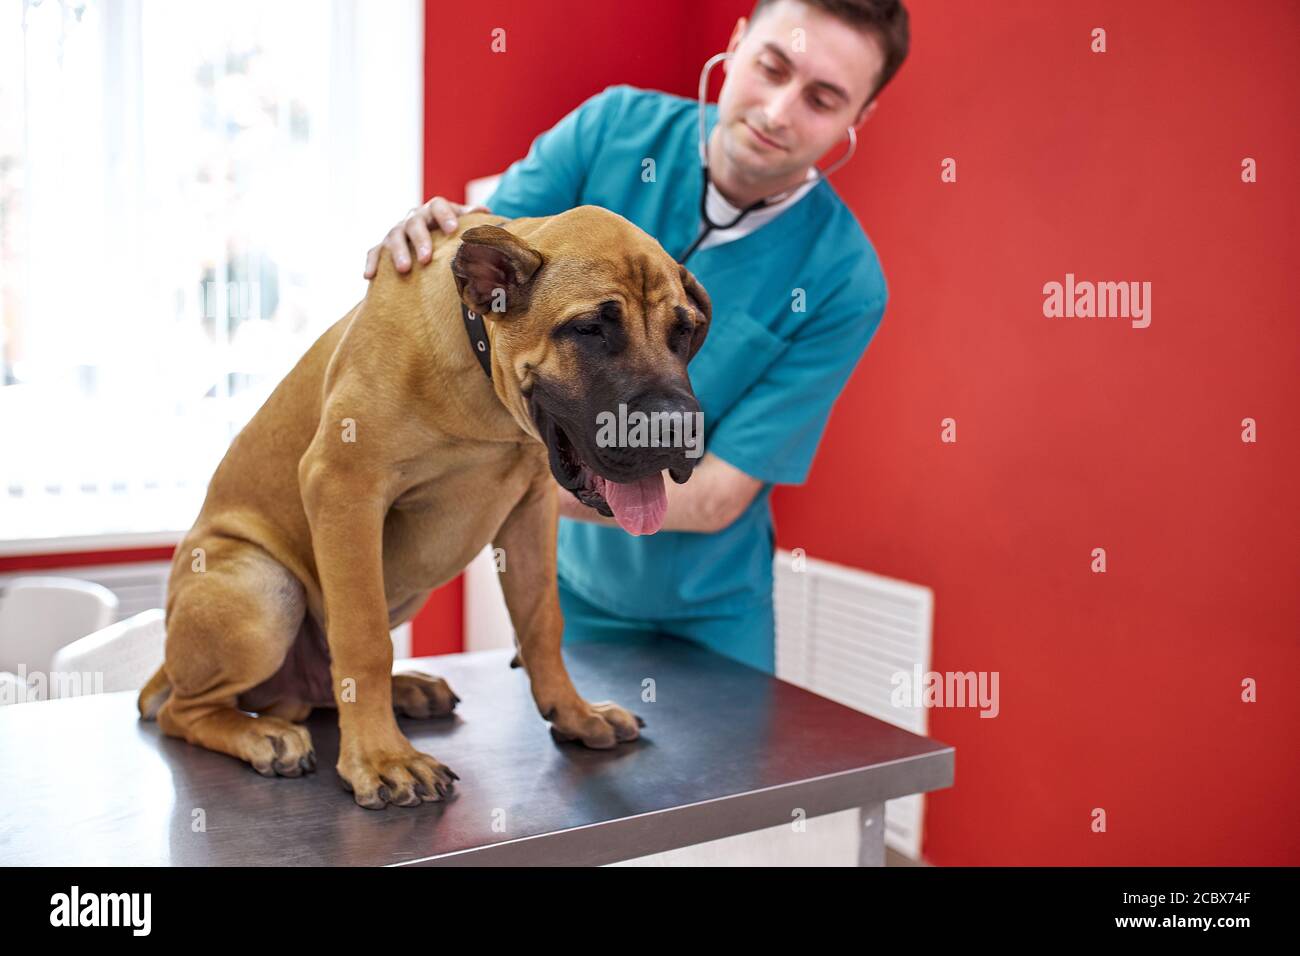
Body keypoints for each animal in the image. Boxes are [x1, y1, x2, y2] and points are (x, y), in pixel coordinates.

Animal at [134, 208, 712, 806]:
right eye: (589, 330)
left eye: (684, 331)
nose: (679, 428)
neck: (483, 382)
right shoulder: (344, 487)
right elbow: (363, 639)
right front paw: (381, 758)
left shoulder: (531, 506)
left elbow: (541, 621)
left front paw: (573, 712)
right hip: (264, 587)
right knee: (186, 711)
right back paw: (263, 735)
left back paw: (405, 690)